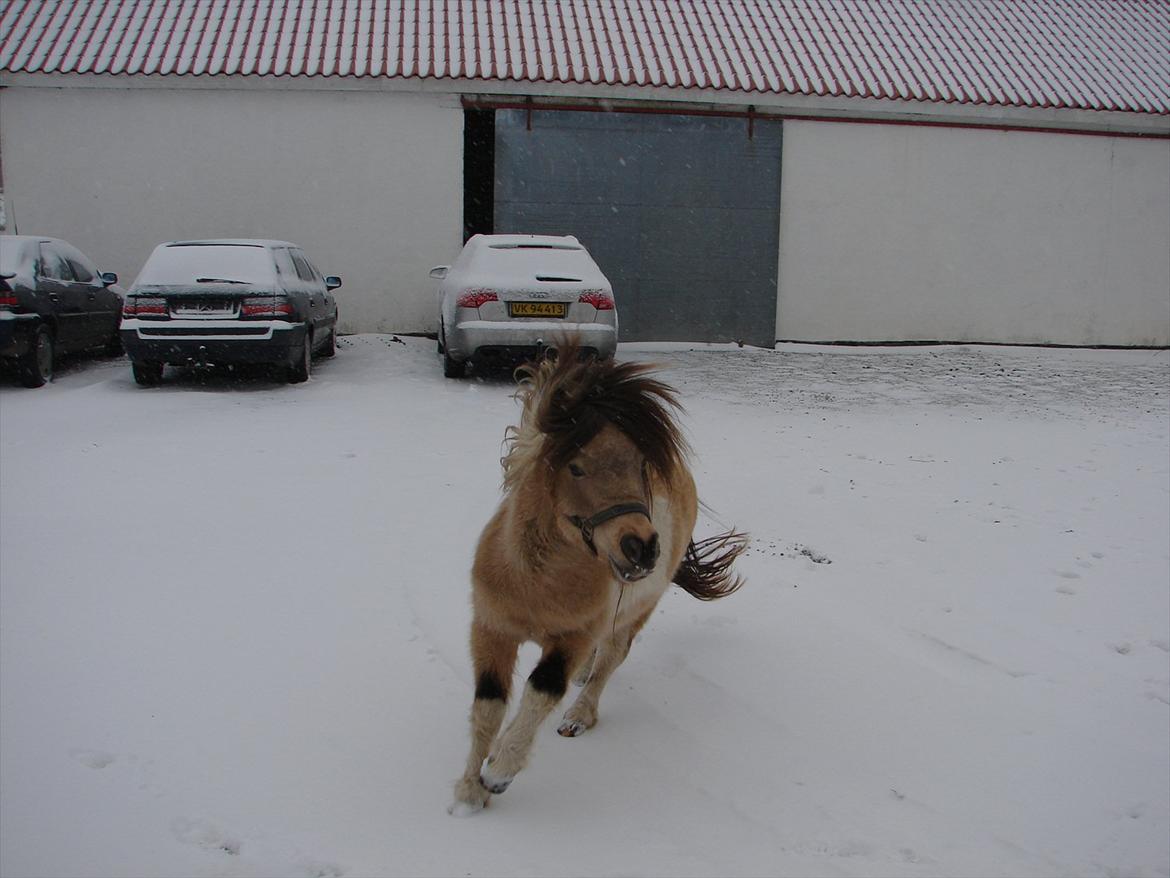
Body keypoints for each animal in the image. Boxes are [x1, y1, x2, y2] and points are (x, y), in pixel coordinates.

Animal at [446, 341, 748, 819]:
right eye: (576, 467)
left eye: (642, 465)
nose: (642, 548)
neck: (538, 583)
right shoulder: (491, 629)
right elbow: (487, 707)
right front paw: (468, 794)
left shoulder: (571, 638)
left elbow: (541, 692)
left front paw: (498, 772)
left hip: (637, 611)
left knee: (611, 656)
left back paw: (579, 716)